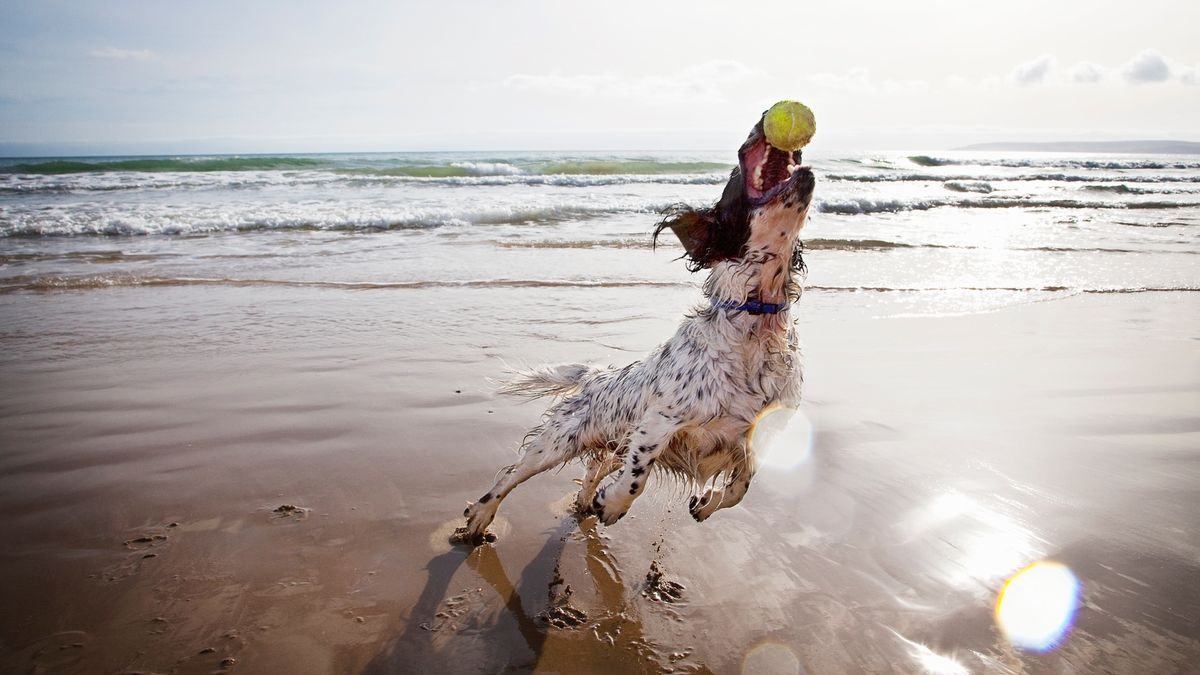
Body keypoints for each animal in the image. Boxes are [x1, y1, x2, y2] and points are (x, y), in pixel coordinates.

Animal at [458, 110, 816, 540]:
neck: (755, 328)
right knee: (511, 475)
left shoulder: (756, 434)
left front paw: (705, 502)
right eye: (734, 175)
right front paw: (613, 504)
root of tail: (596, 376)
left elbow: (741, 487)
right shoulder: (659, 422)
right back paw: (482, 517)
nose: (764, 116)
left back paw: (584, 503)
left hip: (609, 443)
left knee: (596, 466)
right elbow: (636, 478)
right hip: (558, 441)